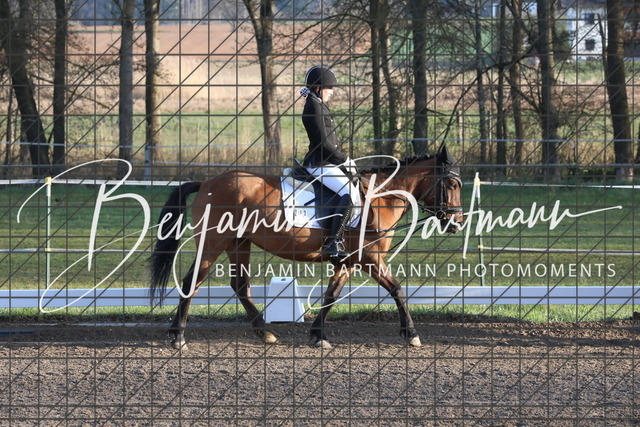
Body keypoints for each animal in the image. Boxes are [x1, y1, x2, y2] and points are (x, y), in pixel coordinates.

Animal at [149, 145, 464, 350]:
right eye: (451, 184)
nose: (457, 223)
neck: (381, 198)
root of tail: (207, 183)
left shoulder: (347, 261)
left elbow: (331, 295)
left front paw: (318, 335)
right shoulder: (370, 258)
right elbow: (397, 289)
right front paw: (411, 334)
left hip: (239, 243)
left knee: (240, 285)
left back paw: (265, 333)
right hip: (214, 241)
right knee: (192, 282)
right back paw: (178, 337)